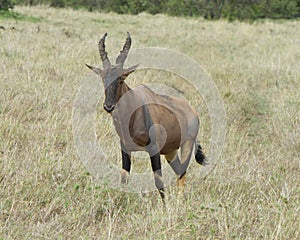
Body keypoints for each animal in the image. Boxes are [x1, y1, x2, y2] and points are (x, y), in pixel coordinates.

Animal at [86, 31, 209, 201]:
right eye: (104, 78)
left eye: (122, 78)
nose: (108, 106)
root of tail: (193, 111)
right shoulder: (125, 148)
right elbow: (124, 179)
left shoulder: (154, 149)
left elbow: (159, 183)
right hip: (170, 151)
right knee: (179, 172)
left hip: (187, 144)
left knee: (183, 174)